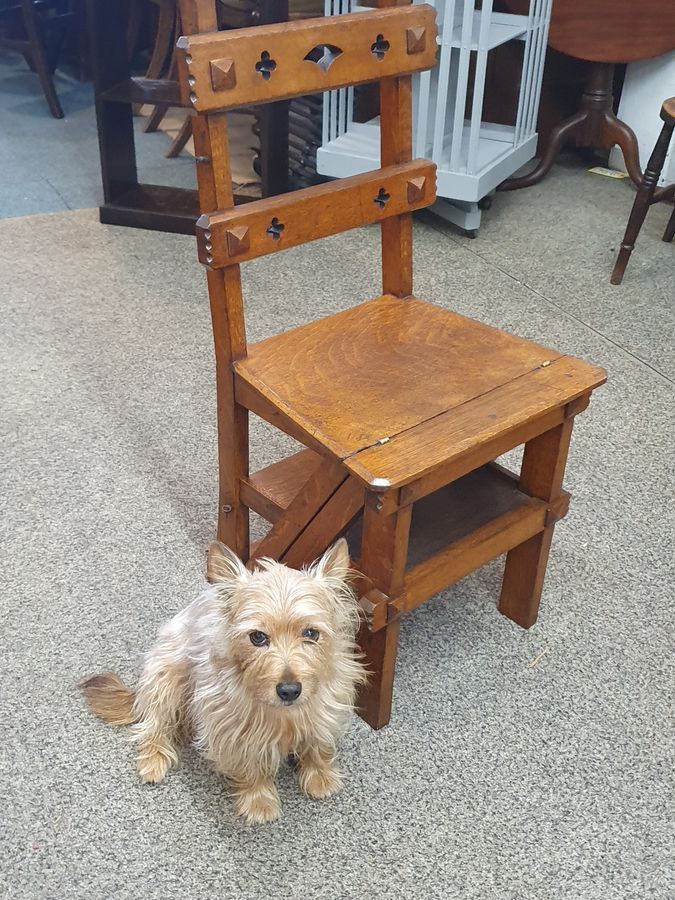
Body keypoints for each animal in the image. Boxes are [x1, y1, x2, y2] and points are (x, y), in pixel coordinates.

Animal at [82, 536, 368, 828]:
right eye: (257, 637)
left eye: (311, 633)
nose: (289, 691)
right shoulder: (233, 727)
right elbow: (251, 765)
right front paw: (258, 800)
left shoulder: (325, 707)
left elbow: (318, 743)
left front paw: (319, 774)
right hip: (165, 679)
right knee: (153, 725)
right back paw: (153, 758)